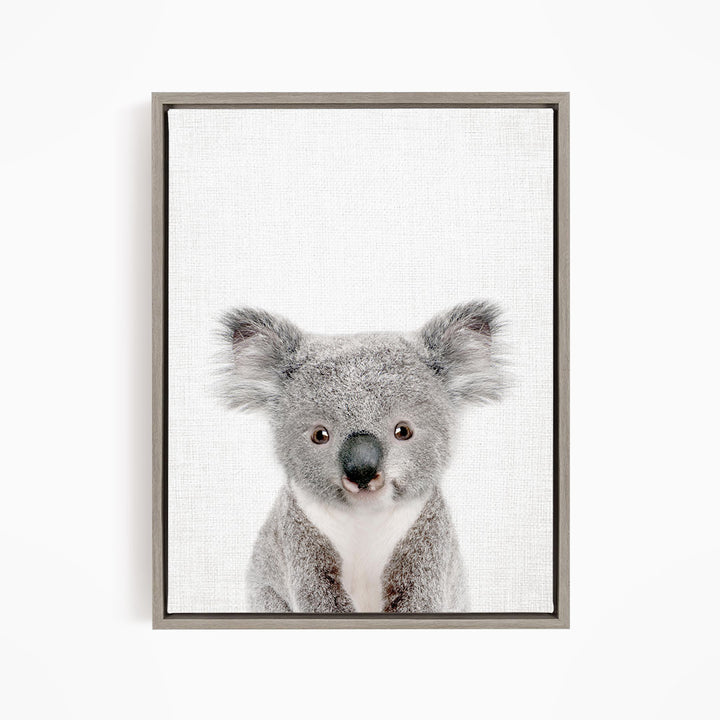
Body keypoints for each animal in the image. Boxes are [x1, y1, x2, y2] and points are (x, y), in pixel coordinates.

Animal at [217, 301, 504, 613]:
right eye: (320, 435)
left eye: (403, 431)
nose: (362, 471)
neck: (364, 518)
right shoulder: (299, 537)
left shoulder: (427, 538)